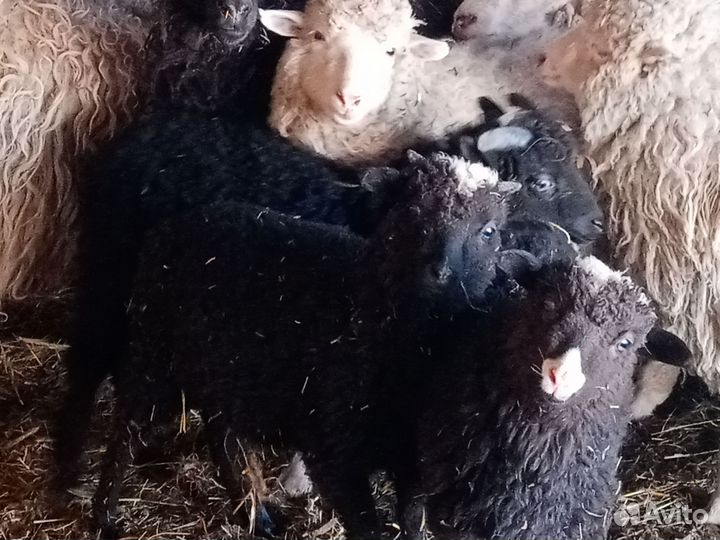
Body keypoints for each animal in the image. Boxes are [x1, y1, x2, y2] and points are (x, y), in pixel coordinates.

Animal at [85, 152, 538, 538]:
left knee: (223, 436)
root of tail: (173, 224)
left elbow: (411, 520)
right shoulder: (336, 456)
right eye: (410, 212)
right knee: (125, 431)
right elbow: (368, 529)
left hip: (225, 370)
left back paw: (258, 519)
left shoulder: (412, 461)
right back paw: (104, 517)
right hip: (153, 354)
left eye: (489, 231)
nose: (439, 270)